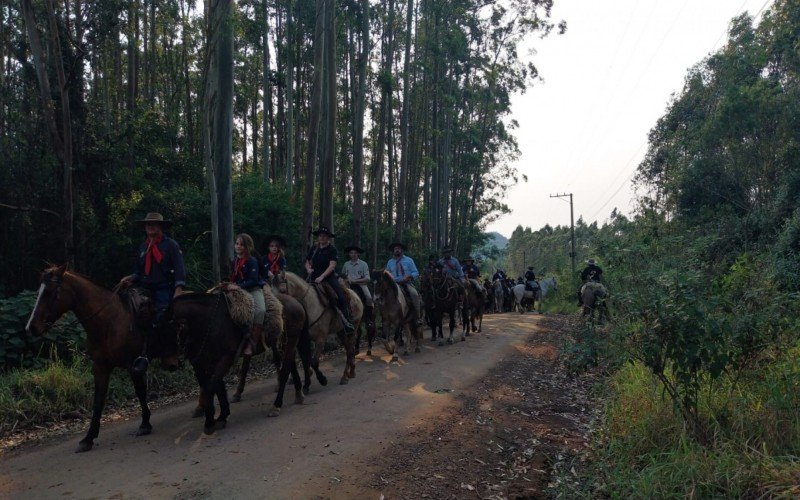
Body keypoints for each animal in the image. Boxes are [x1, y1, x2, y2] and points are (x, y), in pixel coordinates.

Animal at [25, 266, 178, 454]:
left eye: (49, 292)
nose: (31, 327)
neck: (109, 323)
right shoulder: (100, 367)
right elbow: (98, 401)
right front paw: (88, 438)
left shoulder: (133, 364)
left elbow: (140, 392)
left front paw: (145, 424)